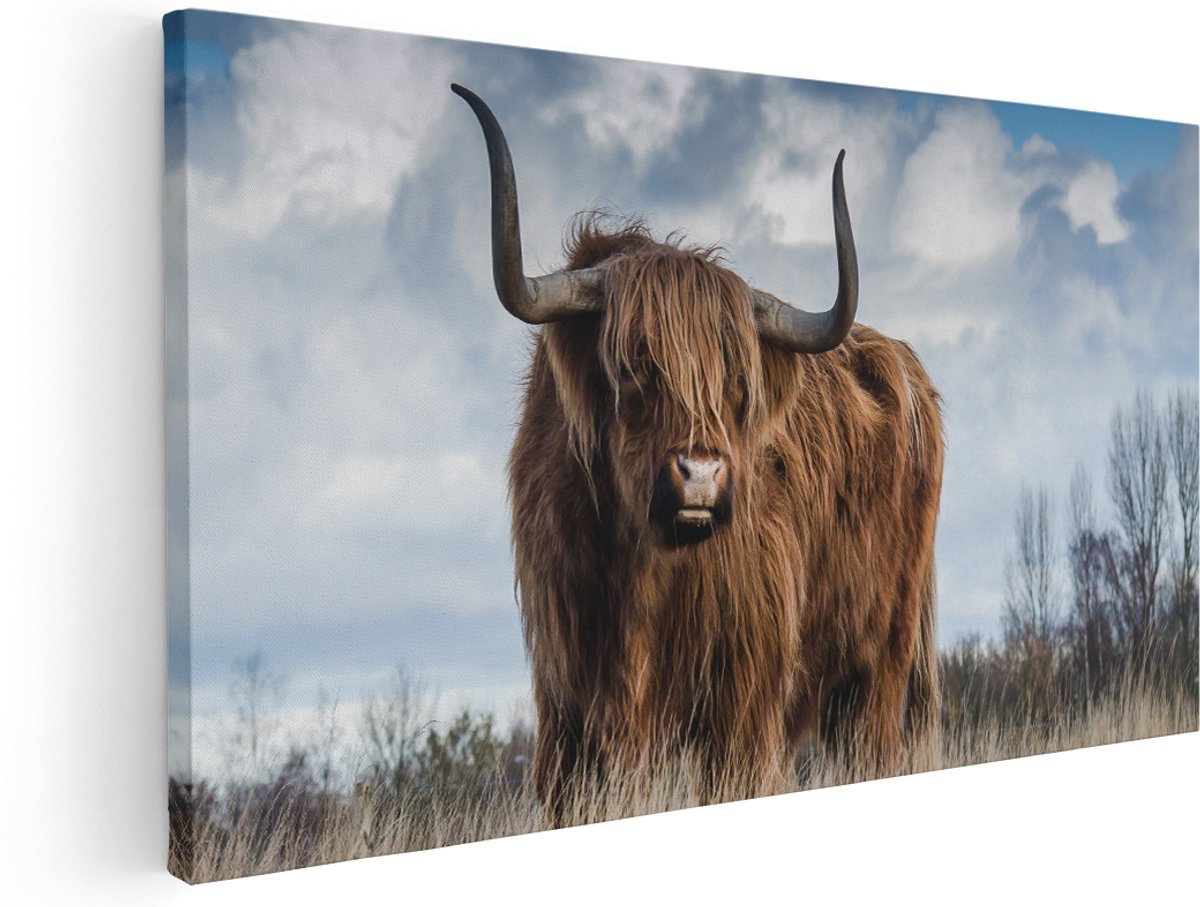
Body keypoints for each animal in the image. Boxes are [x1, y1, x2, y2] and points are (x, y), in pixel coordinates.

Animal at [452, 84, 944, 818]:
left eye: (738, 382)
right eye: (633, 367)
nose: (701, 475)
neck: (639, 575)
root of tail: (909, 369)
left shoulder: (742, 700)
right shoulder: (566, 701)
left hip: (882, 661)